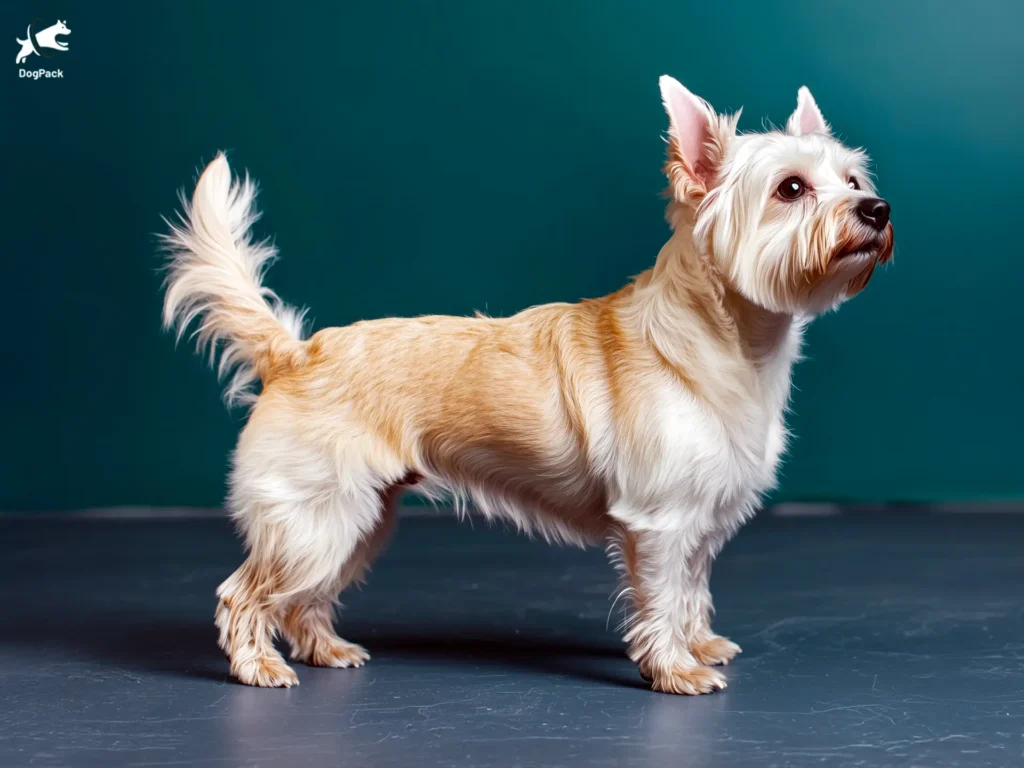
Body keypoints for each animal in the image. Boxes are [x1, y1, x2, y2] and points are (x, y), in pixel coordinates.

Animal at [161, 75, 897, 696]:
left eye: (852, 178)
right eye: (791, 189)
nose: (878, 208)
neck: (730, 342)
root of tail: (296, 353)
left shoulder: (698, 523)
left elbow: (691, 591)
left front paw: (698, 644)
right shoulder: (660, 524)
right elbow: (663, 597)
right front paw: (675, 670)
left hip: (357, 519)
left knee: (304, 600)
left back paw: (326, 650)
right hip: (314, 522)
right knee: (244, 594)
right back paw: (258, 667)